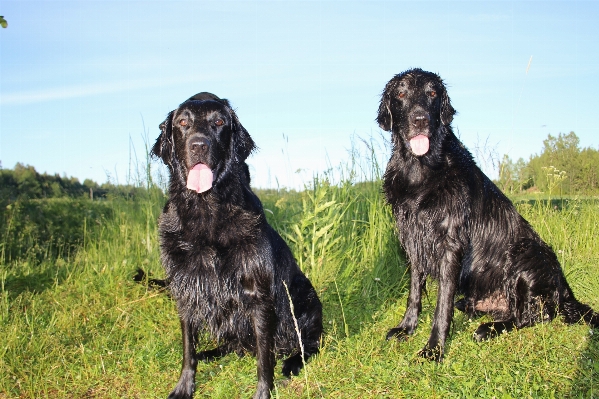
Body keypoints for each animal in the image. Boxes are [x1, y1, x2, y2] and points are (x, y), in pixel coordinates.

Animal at [155, 92, 324, 398]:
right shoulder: (185, 290)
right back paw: (211, 353)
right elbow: (188, 350)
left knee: (310, 343)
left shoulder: (258, 294)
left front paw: (263, 392)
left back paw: (292, 362)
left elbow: (264, 359)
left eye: (219, 122)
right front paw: (184, 386)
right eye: (183, 122)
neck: (206, 209)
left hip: (305, 296)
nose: (199, 145)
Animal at [378, 69, 596, 362]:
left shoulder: (450, 243)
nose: (420, 119)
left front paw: (434, 348)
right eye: (400, 94)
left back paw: (488, 329)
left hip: (527, 255)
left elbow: (442, 305)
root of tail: (564, 288)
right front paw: (406, 328)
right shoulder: (414, 241)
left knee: (532, 316)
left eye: (432, 93)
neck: (420, 170)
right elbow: (414, 293)